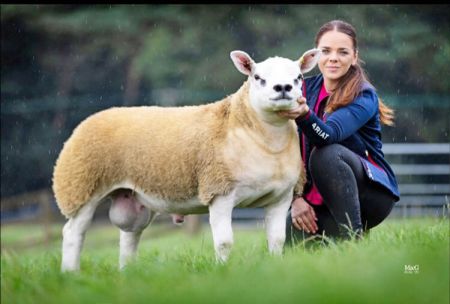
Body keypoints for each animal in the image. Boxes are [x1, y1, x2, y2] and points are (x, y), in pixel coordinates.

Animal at [51, 48, 320, 272]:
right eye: (257, 77)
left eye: (298, 77)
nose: (283, 87)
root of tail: (91, 119)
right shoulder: (219, 191)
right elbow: (224, 242)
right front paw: (223, 271)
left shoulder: (280, 197)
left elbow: (277, 240)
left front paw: (276, 267)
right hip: (81, 186)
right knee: (73, 233)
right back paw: (70, 273)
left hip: (133, 197)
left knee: (129, 237)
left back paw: (127, 272)